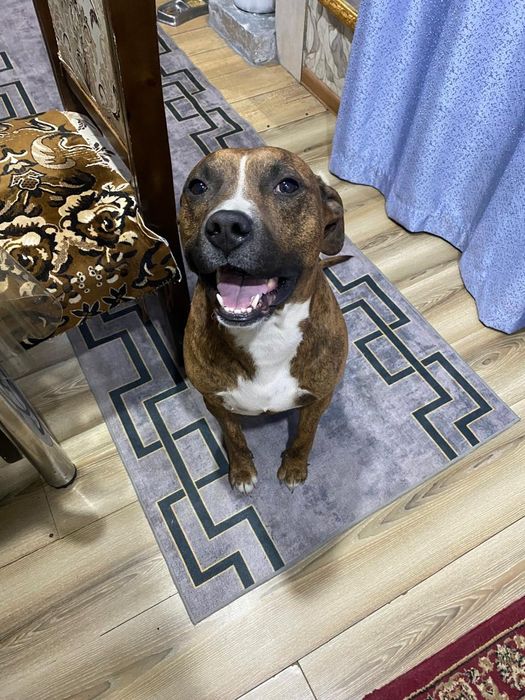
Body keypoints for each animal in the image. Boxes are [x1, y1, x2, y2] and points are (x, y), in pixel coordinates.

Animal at [178, 146, 348, 493]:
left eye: (288, 185)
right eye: (198, 186)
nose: (225, 226)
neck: (266, 333)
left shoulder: (319, 398)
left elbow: (305, 435)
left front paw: (294, 467)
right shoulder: (214, 401)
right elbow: (234, 438)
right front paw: (242, 471)